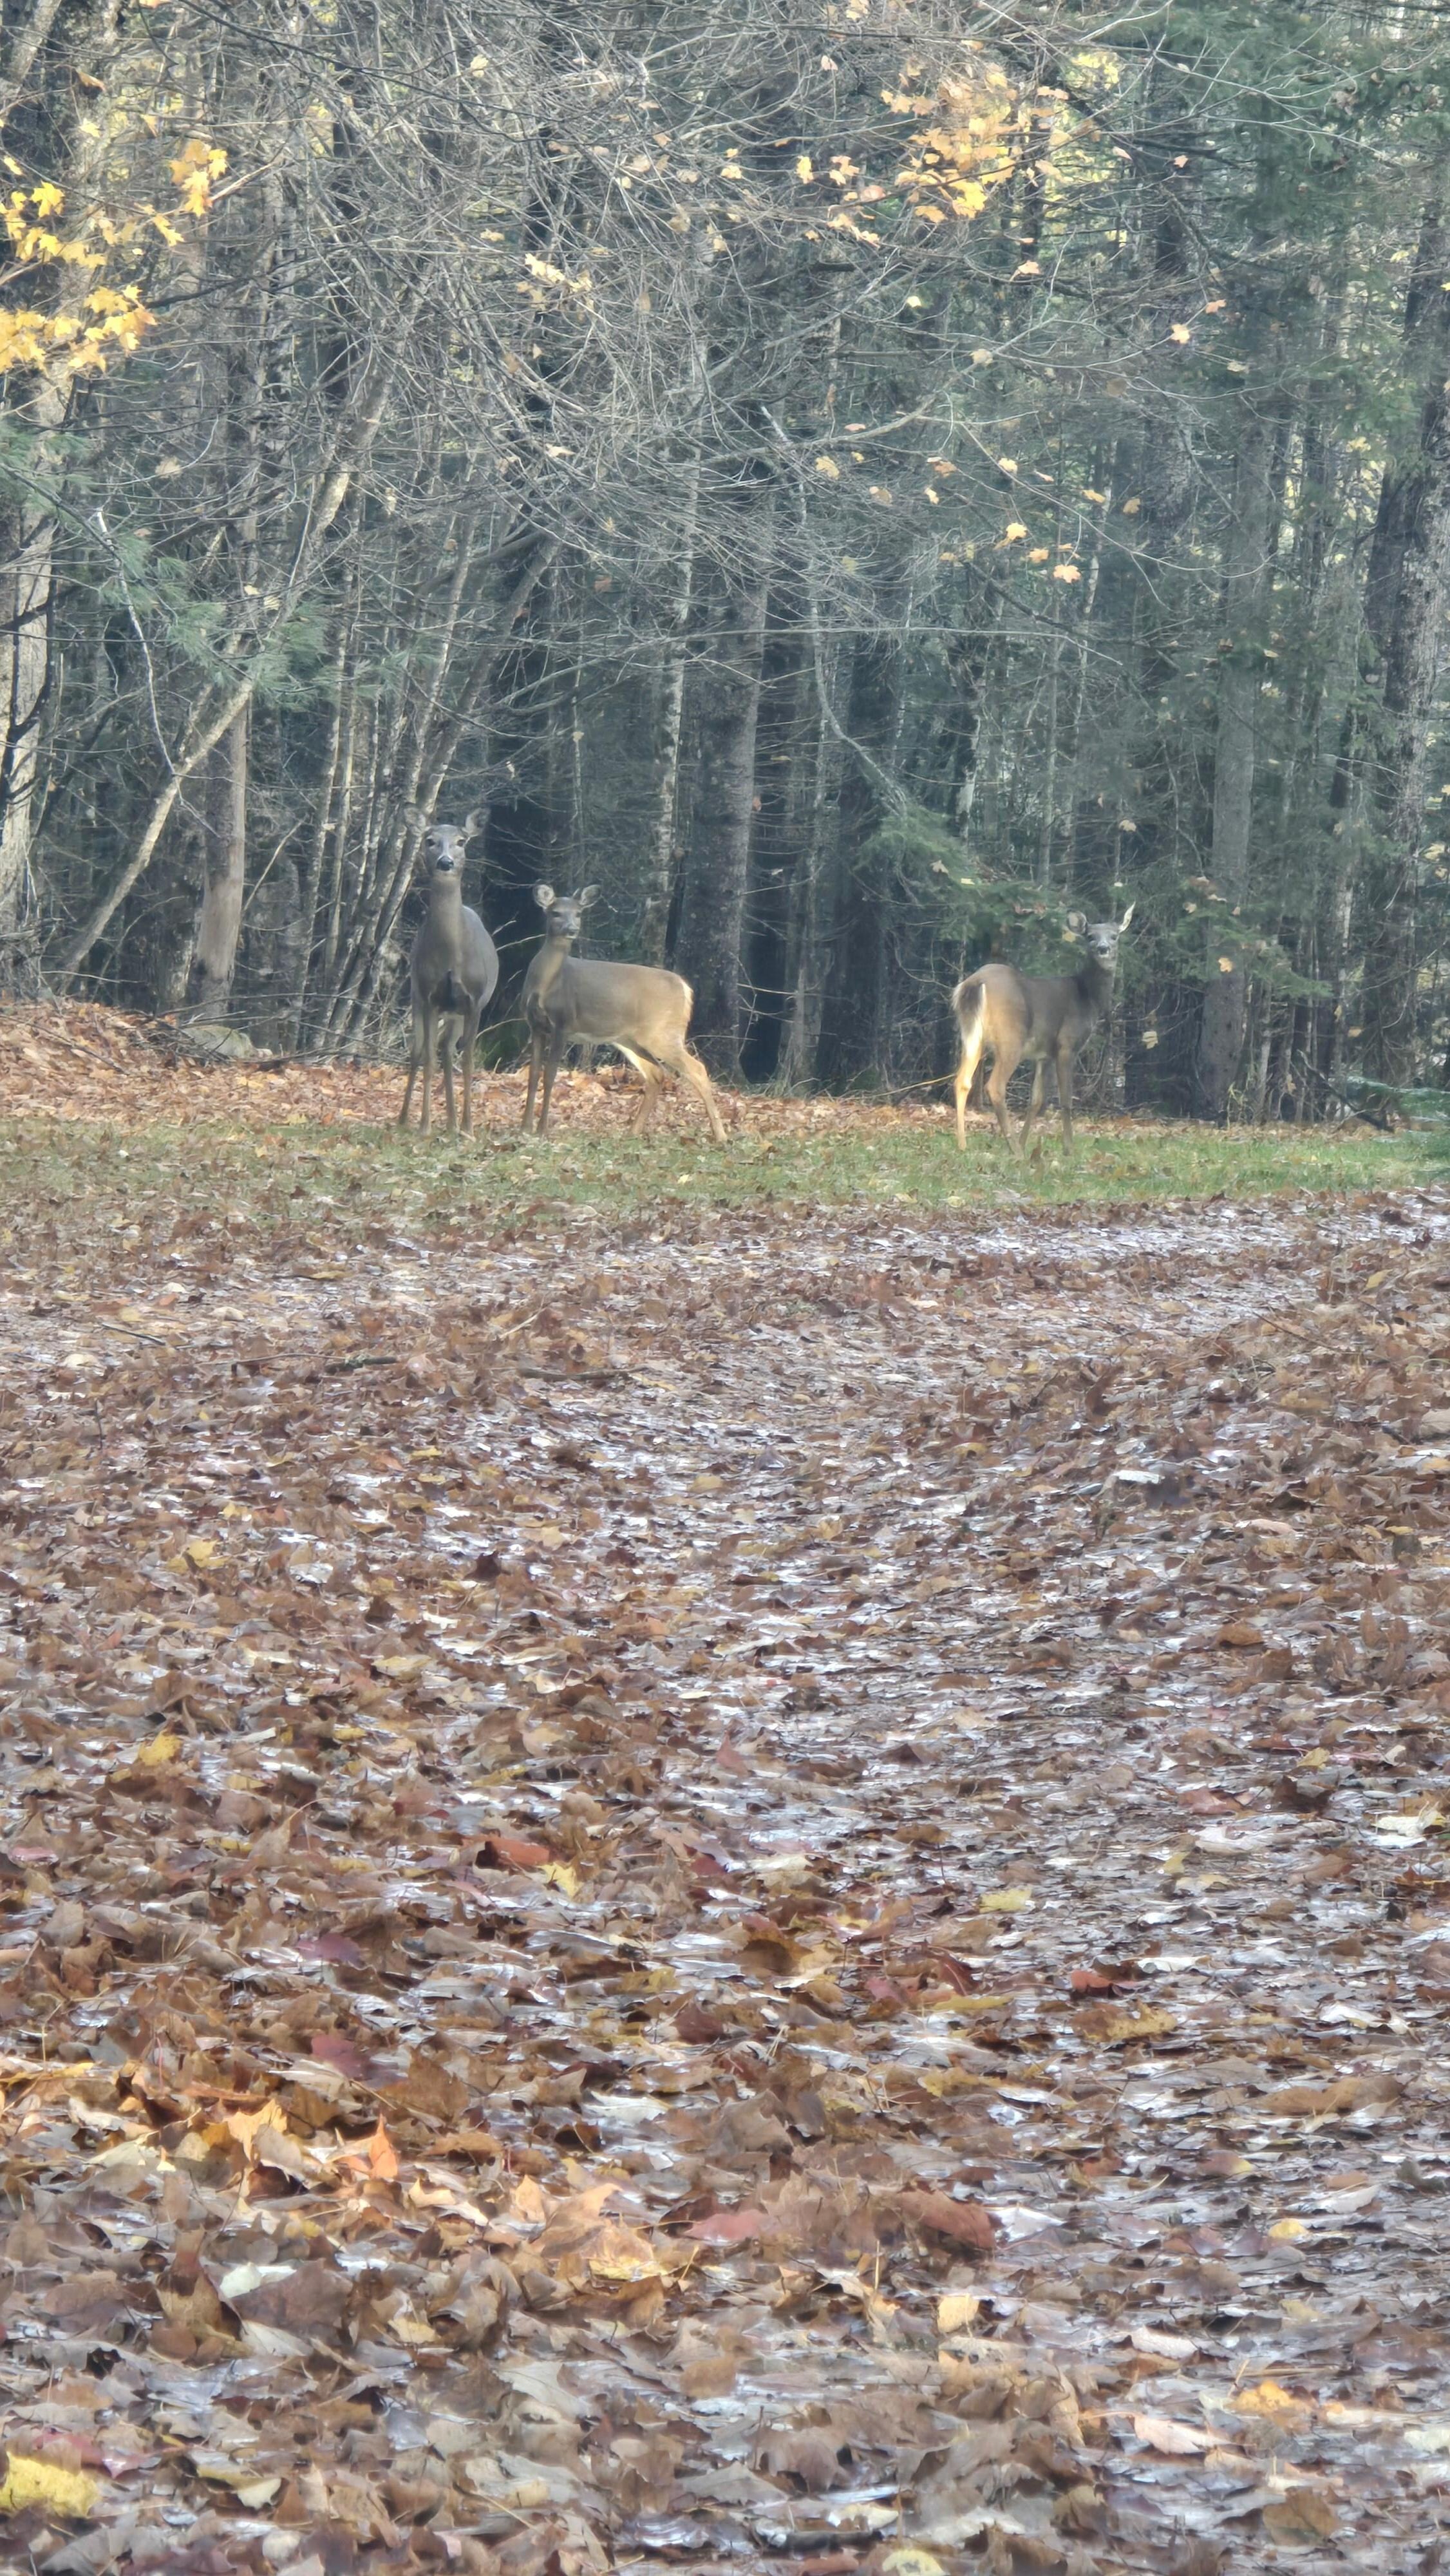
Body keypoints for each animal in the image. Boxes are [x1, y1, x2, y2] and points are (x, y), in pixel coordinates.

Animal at [397, 811, 499, 1137]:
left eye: (461, 841)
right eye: (429, 840)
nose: (445, 862)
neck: (453, 957)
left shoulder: (475, 1001)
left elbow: (467, 1061)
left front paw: (468, 1127)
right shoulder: (430, 996)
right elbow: (427, 1058)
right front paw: (424, 1126)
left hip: (455, 1012)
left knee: (448, 1050)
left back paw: (454, 1124)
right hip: (417, 998)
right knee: (420, 1051)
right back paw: (404, 1119)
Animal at [521, 885, 726, 1142]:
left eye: (578, 914)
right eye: (555, 913)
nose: (572, 930)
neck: (546, 985)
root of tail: (684, 987)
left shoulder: (563, 1023)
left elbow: (550, 1075)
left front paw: (542, 1130)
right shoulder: (535, 1025)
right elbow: (533, 1075)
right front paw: (525, 1127)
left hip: (663, 1033)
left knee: (697, 1069)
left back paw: (721, 1135)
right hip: (629, 1039)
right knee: (656, 1073)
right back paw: (633, 1131)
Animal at [952, 905, 1133, 1156]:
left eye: (1115, 936)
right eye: (1090, 936)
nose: (1103, 948)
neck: (1088, 998)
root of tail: (974, 983)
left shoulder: (1044, 1054)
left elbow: (1036, 1100)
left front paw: (1025, 1142)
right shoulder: (1066, 1044)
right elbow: (1066, 1098)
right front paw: (1068, 1149)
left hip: (972, 1036)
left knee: (962, 1081)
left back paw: (963, 1144)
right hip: (1011, 1037)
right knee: (995, 1086)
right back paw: (1014, 1151)